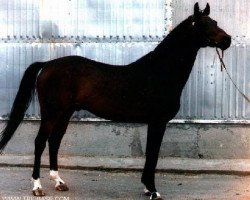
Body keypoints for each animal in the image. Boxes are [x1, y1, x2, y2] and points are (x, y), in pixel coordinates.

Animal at [0, 3, 230, 200]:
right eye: (203, 24)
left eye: (215, 21)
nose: (227, 40)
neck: (159, 72)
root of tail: (48, 64)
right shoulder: (158, 122)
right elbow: (153, 155)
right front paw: (153, 190)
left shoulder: (155, 123)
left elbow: (151, 154)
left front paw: (148, 188)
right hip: (51, 112)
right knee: (40, 142)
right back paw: (37, 187)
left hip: (65, 112)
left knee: (54, 141)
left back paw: (59, 182)